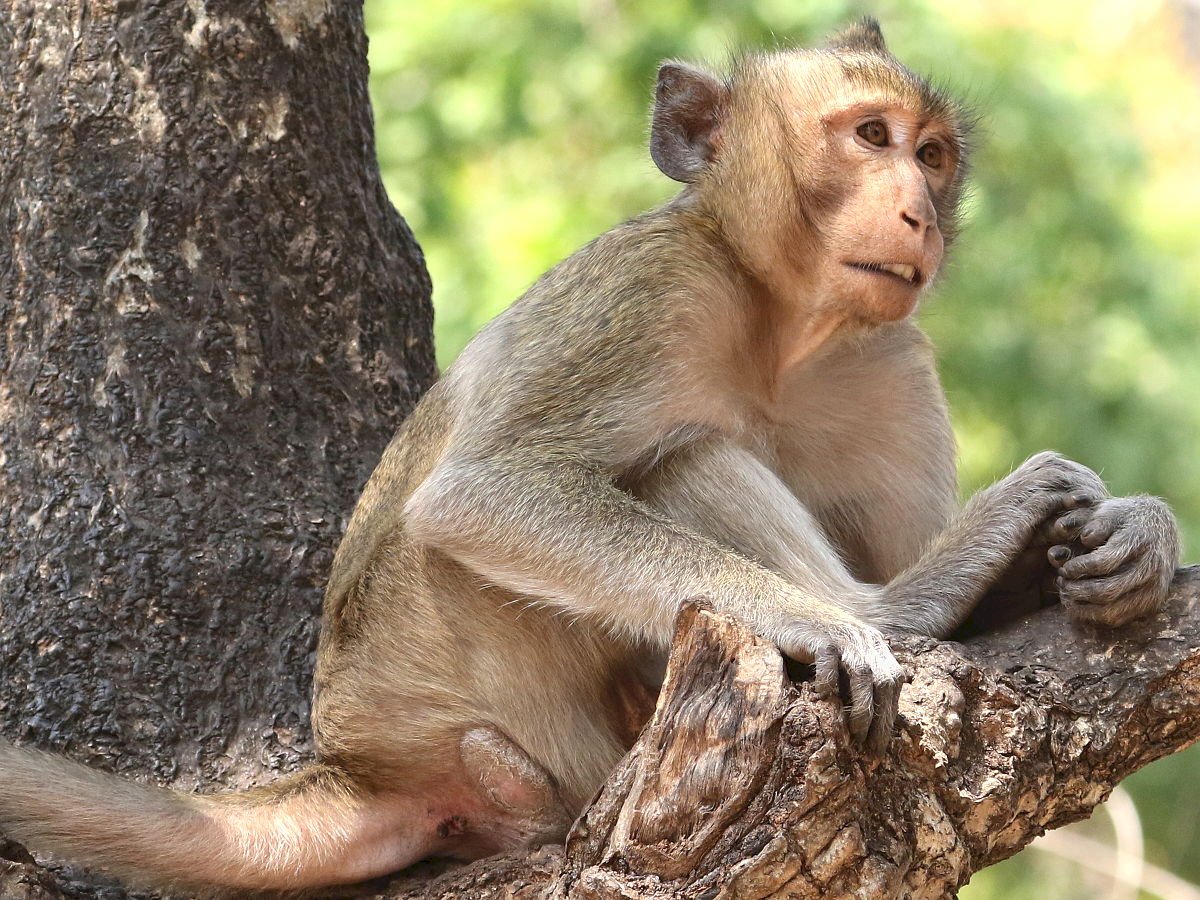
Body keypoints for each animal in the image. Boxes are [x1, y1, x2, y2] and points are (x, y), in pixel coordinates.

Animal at [0, 17, 1180, 897]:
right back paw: (886, 611)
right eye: (870, 135)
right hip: (459, 665)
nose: (916, 211)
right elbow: (481, 495)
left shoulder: (889, 359)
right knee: (677, 465)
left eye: (931, 155)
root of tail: (351, 757)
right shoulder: (650, 290)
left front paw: (1131, 539)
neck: (773, 319)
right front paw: (824, 617)